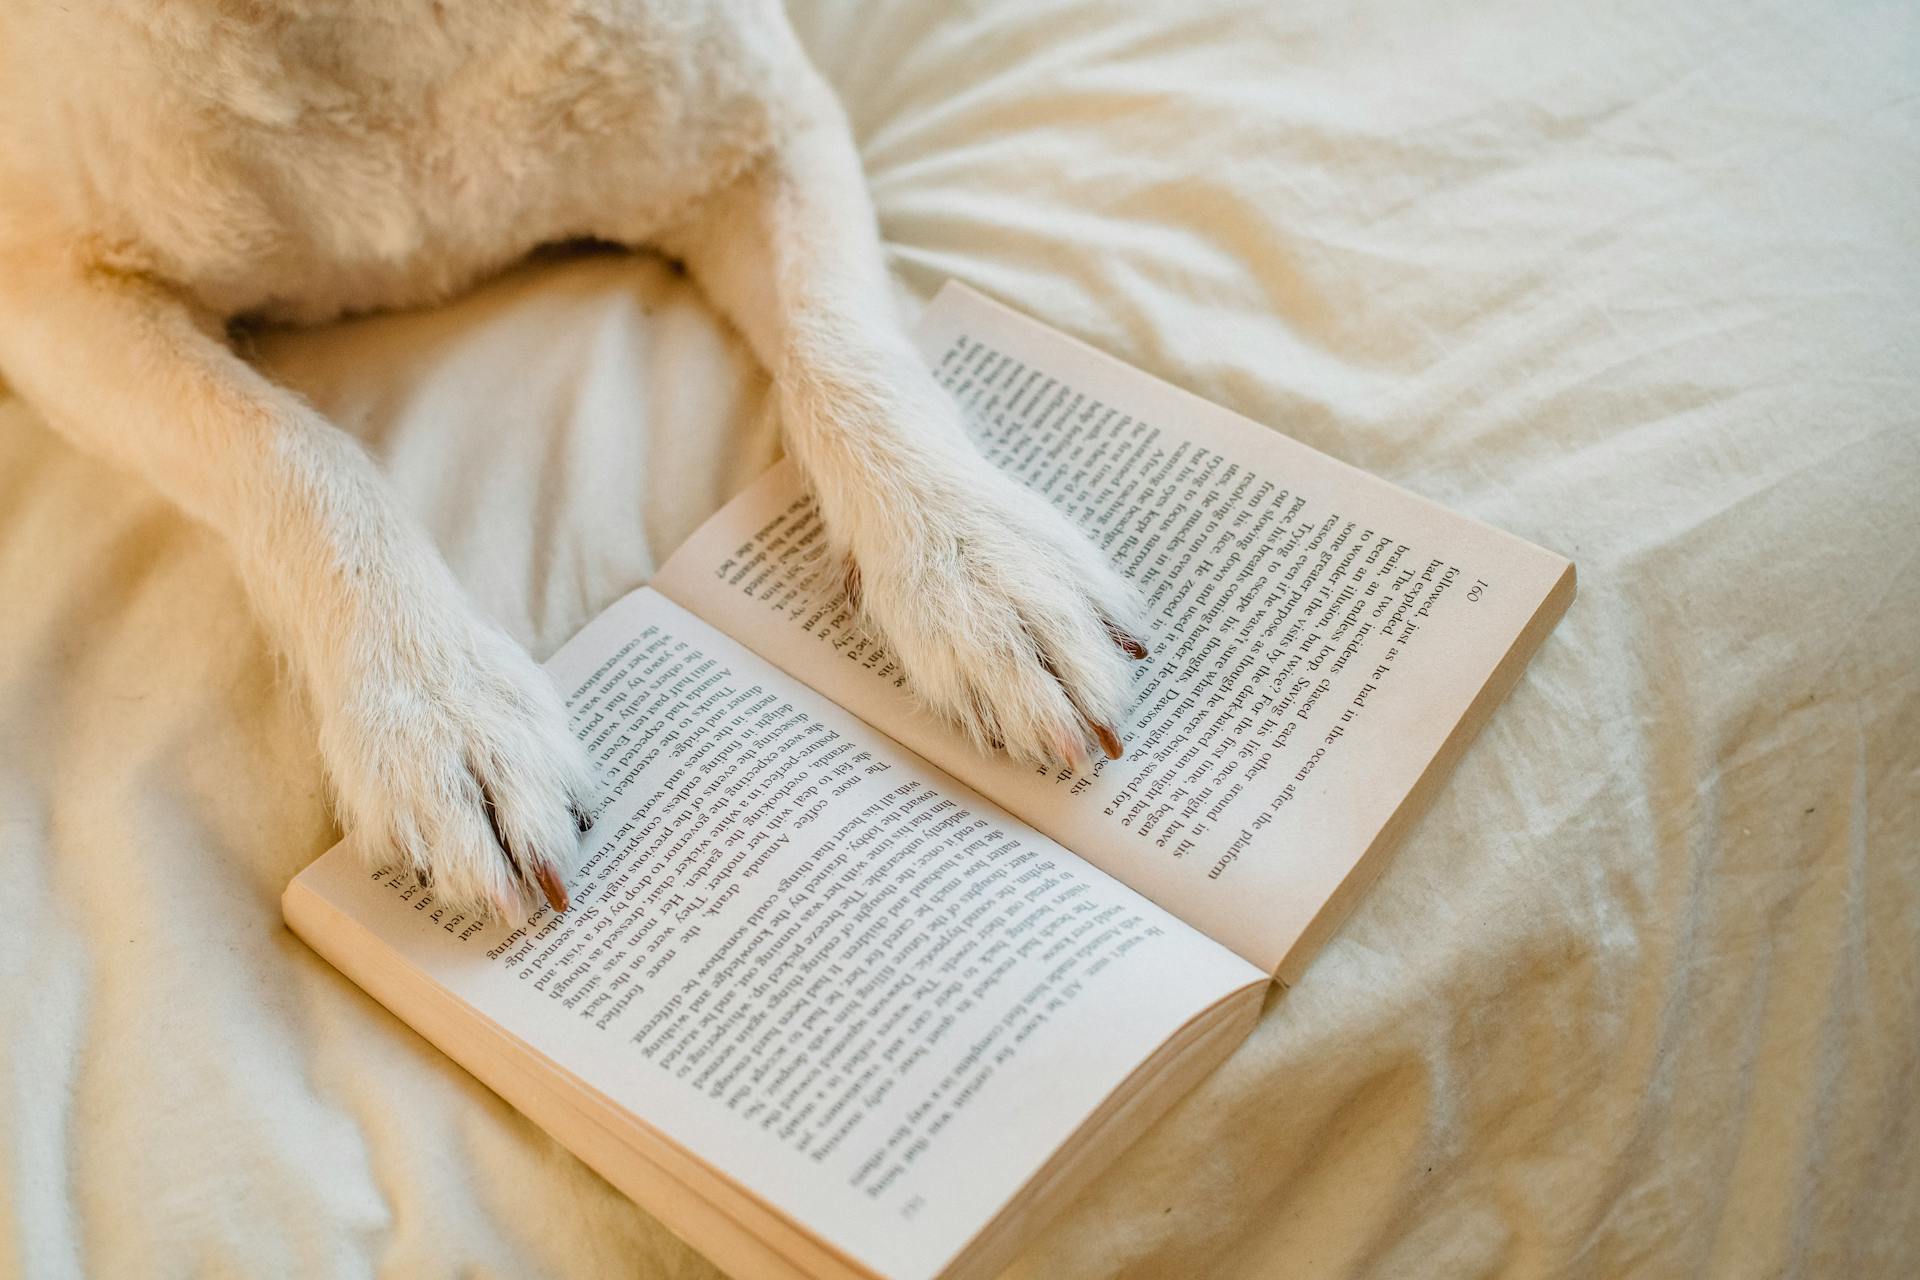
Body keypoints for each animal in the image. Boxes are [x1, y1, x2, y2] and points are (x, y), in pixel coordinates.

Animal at [0, 0, 1136, 921]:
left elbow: (837, 340)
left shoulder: (761, 129)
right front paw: (436, 703)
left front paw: (976, 564)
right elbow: (290, 445)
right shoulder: (54, 293)